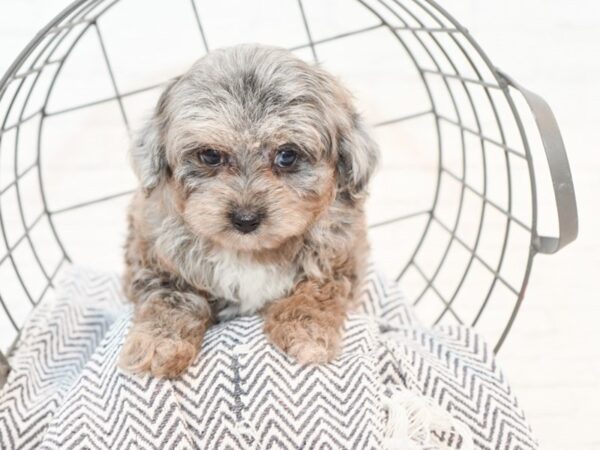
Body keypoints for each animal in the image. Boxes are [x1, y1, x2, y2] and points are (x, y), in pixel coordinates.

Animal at [119, 44, 378, 380]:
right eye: (210, 155)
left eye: (287, 156)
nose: (245, 220)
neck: (250, 253)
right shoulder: (155, 257)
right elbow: (169, 298)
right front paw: (158, 344)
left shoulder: (339, 255)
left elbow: (316, 290)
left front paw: (306, 333)